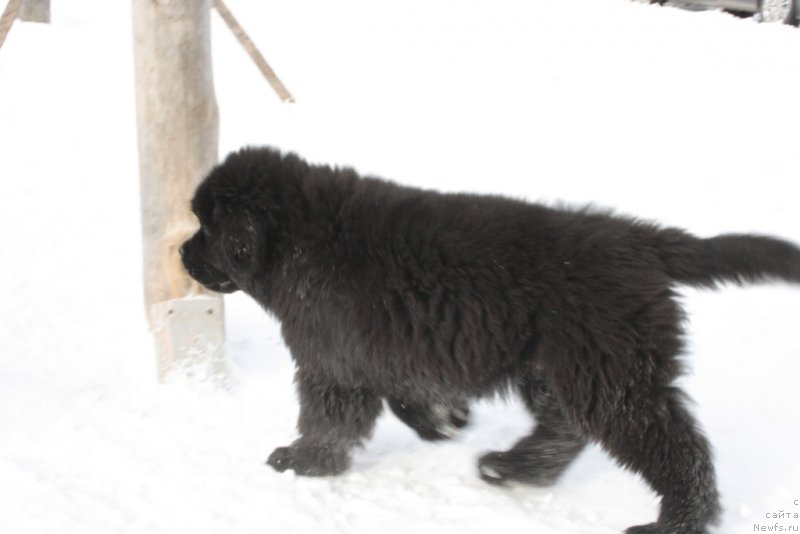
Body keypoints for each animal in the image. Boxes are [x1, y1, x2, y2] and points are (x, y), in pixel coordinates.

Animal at [181, 147, 800, 534]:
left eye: (207, 228)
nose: (181, 254)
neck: (298, 239)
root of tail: (638, 239)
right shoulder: (391, 351)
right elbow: (406, 396)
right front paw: (445, 421)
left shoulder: (332, 360)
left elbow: (327, 418)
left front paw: (303, 462)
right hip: (560, 365)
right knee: (565, 429)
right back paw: (512, 467)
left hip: (608, 368)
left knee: (676, 447)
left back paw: (676, 521)